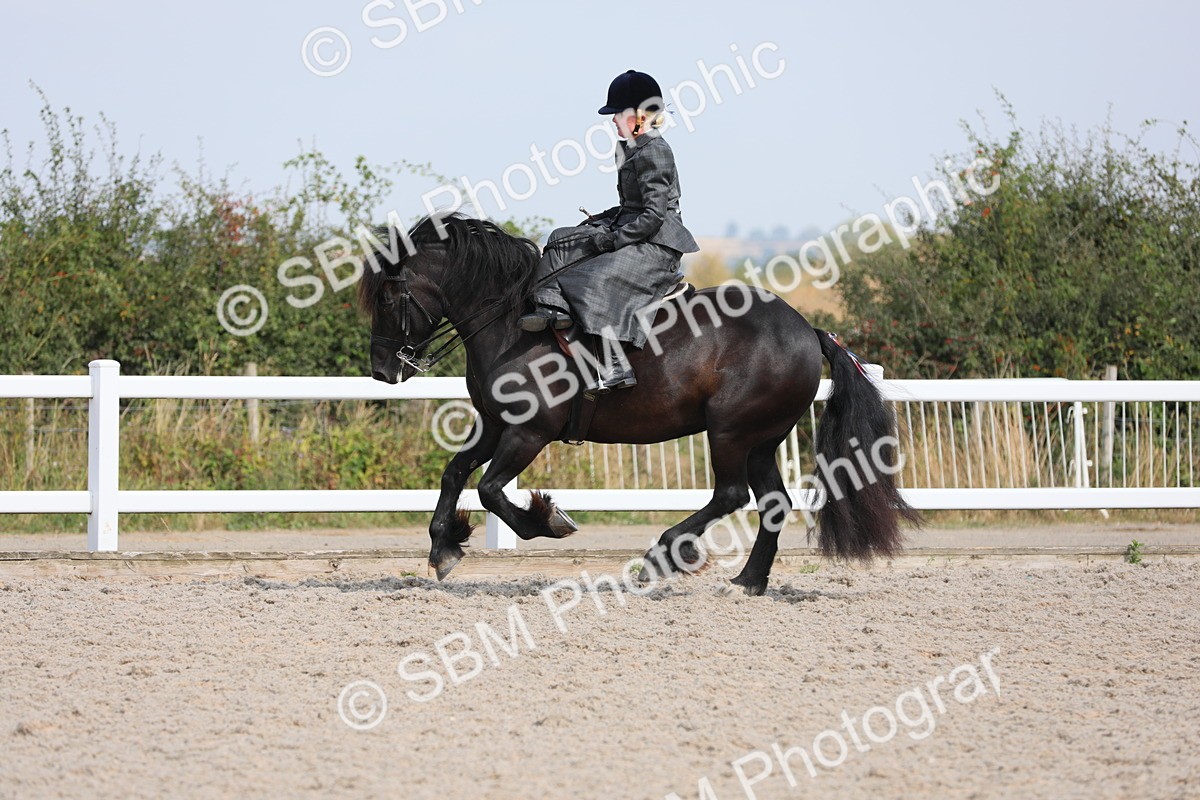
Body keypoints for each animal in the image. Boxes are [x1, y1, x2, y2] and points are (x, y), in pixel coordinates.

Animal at [359, 213, 919, 595]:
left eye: (387, 296)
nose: (382, 370)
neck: (512, 322)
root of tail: (806, 328)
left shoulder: (527, 433)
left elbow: (491, 490)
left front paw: (547, 521)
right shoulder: (496, 423)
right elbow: (454, 473)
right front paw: (443, 545)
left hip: (731, 432)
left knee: (730, 493)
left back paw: (664, 556)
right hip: (761, 439)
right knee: (771, 503)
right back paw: (748, 581)